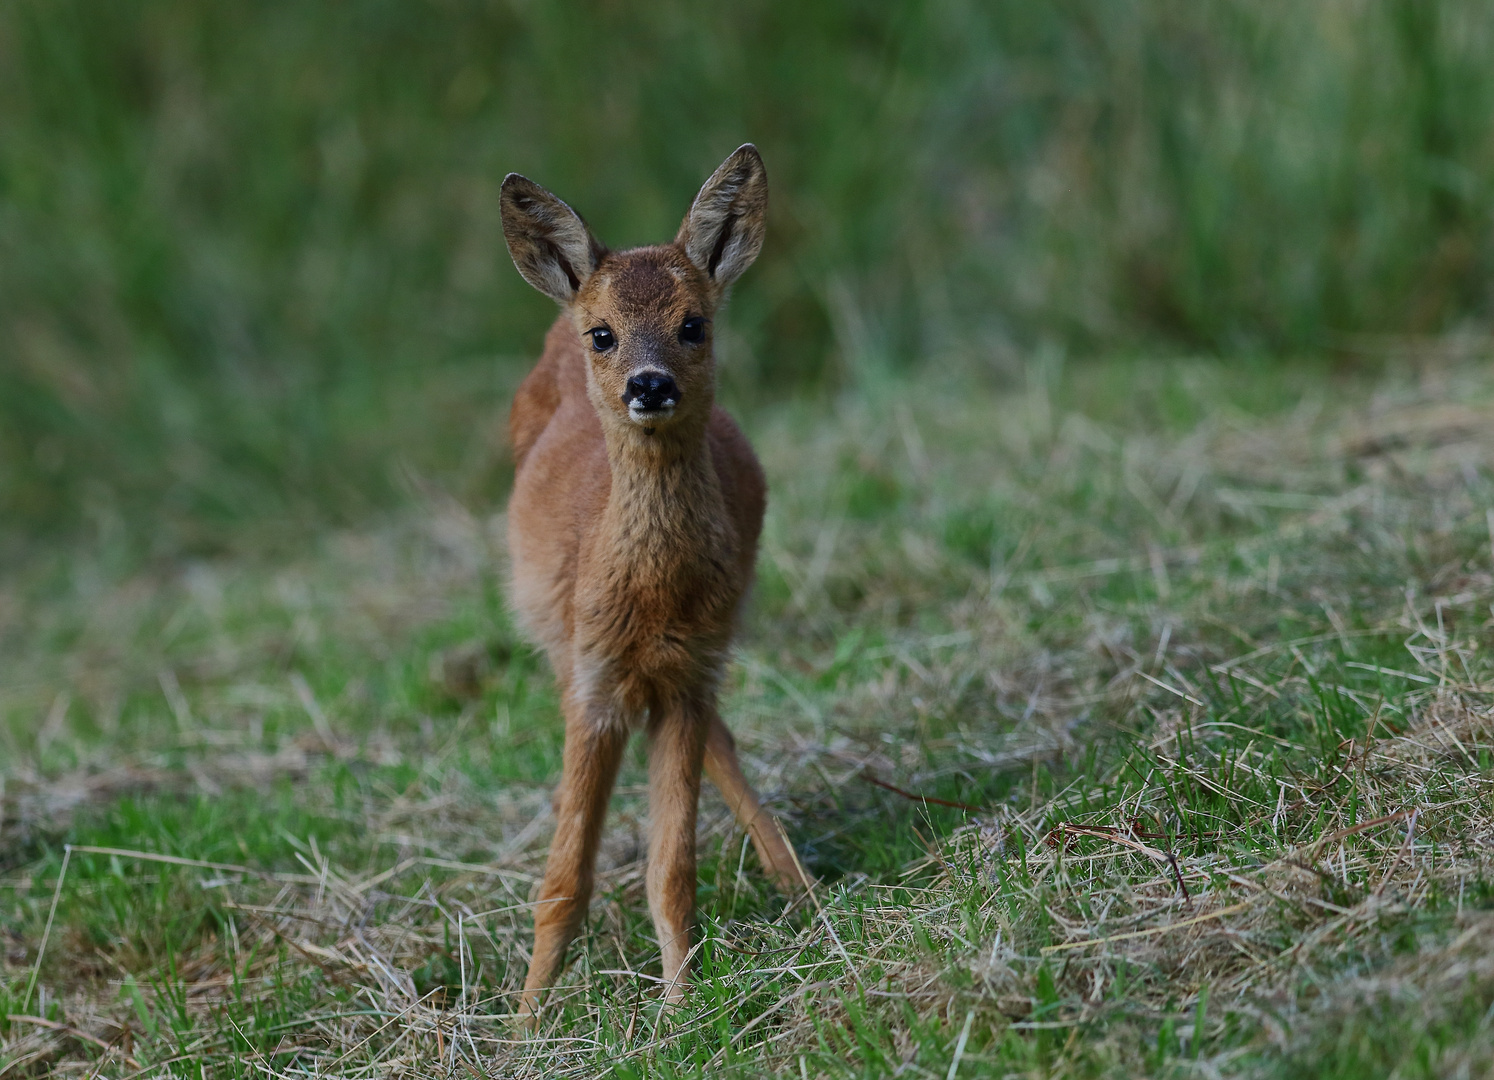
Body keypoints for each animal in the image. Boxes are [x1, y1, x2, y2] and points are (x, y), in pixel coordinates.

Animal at [498, 141, 806, 1015]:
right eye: (605, 334)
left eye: (692, 324)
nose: (649, 383)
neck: (648, 596)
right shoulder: (592, 677)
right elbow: (562, 881)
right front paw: (525, 1023)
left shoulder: (687, 674)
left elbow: (671, 872)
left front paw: (679, 1007)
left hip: (708, 655)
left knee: (723, 742)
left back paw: (797, 884)